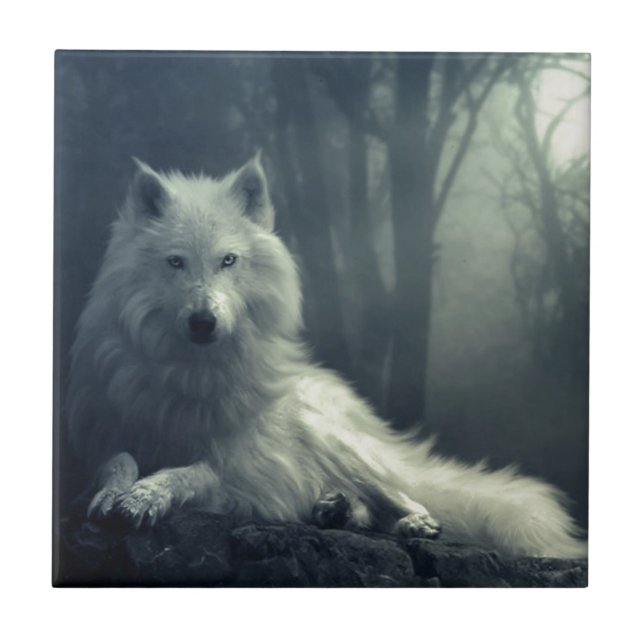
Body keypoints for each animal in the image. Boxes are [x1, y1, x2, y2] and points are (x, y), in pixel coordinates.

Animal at [65, 155, 587, 559]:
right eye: (175, 262)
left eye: (228, 261)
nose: (203, 322)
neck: (190, 372)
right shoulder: (99, 436)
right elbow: (117, 460)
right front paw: (114, 493)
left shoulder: (238, 468)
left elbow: (190, 471)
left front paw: (146, 496)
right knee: (359, 505)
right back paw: (334, 509)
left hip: (335, 442)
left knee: (408, 497)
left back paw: (409, 523)